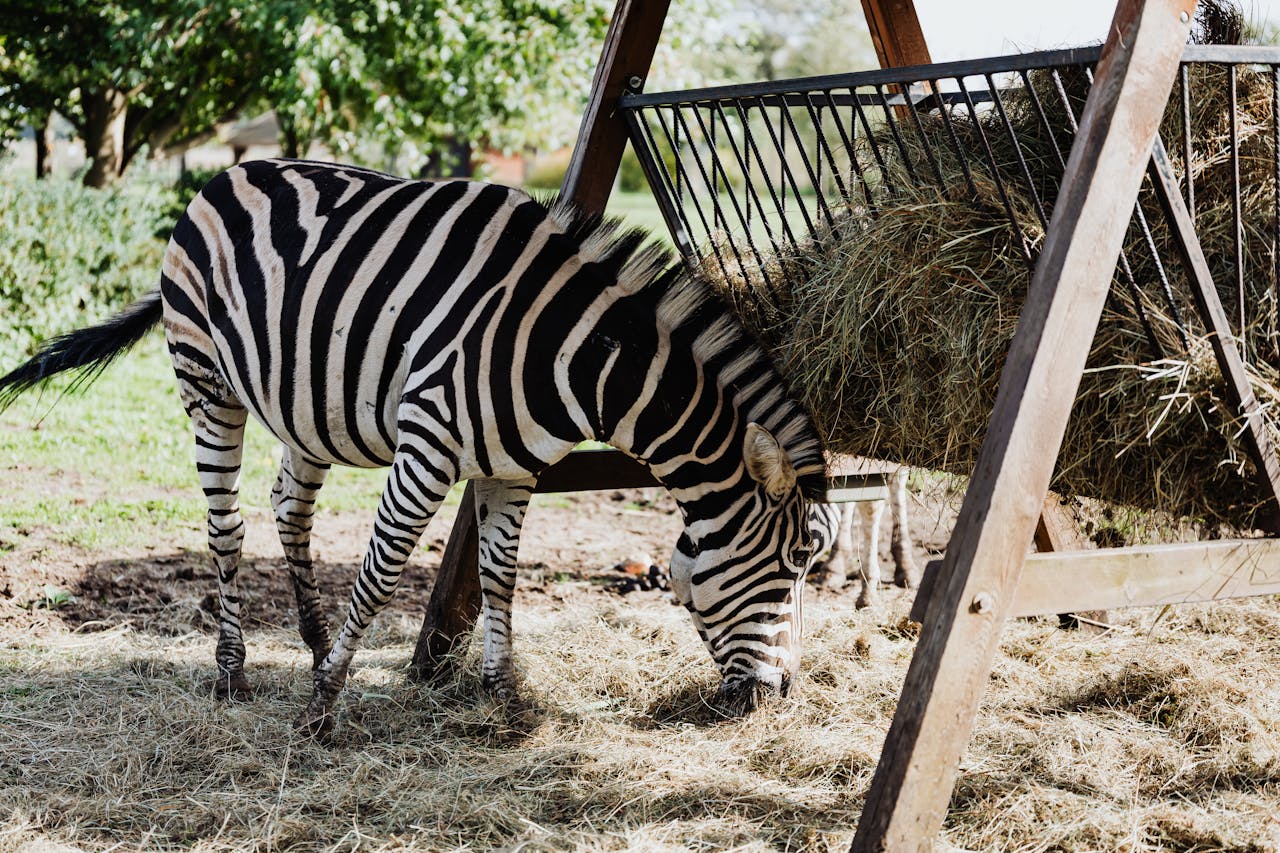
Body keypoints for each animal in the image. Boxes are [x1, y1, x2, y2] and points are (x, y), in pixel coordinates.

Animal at [0, 159, 824, 737]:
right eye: (796, 562)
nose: (782, 695)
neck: (576, 356)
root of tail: (232, 173)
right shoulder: (427, 444)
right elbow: (379, 572)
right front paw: (323, 709)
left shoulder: (513, 468)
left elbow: (499, 578)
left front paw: (501, 698)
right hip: (207, 381)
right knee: (225, 524)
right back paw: (233, 671)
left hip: (306, 403)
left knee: (288, 508)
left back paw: (312, 643)